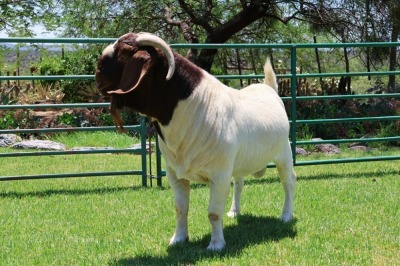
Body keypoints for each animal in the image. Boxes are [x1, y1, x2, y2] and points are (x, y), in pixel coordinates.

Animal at [96, 32, 296, 250]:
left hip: (283, 153)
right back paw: (234, 211)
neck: (196, 107)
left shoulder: (219, 175)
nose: (97, 73)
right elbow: (180, 208)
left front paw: (216, 244)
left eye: (124, 53)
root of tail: (269, 89)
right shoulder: (175, 174)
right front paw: (178, 239)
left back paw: (286, 215)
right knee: (240, 182)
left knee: (289, 181)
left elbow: (213, 213)